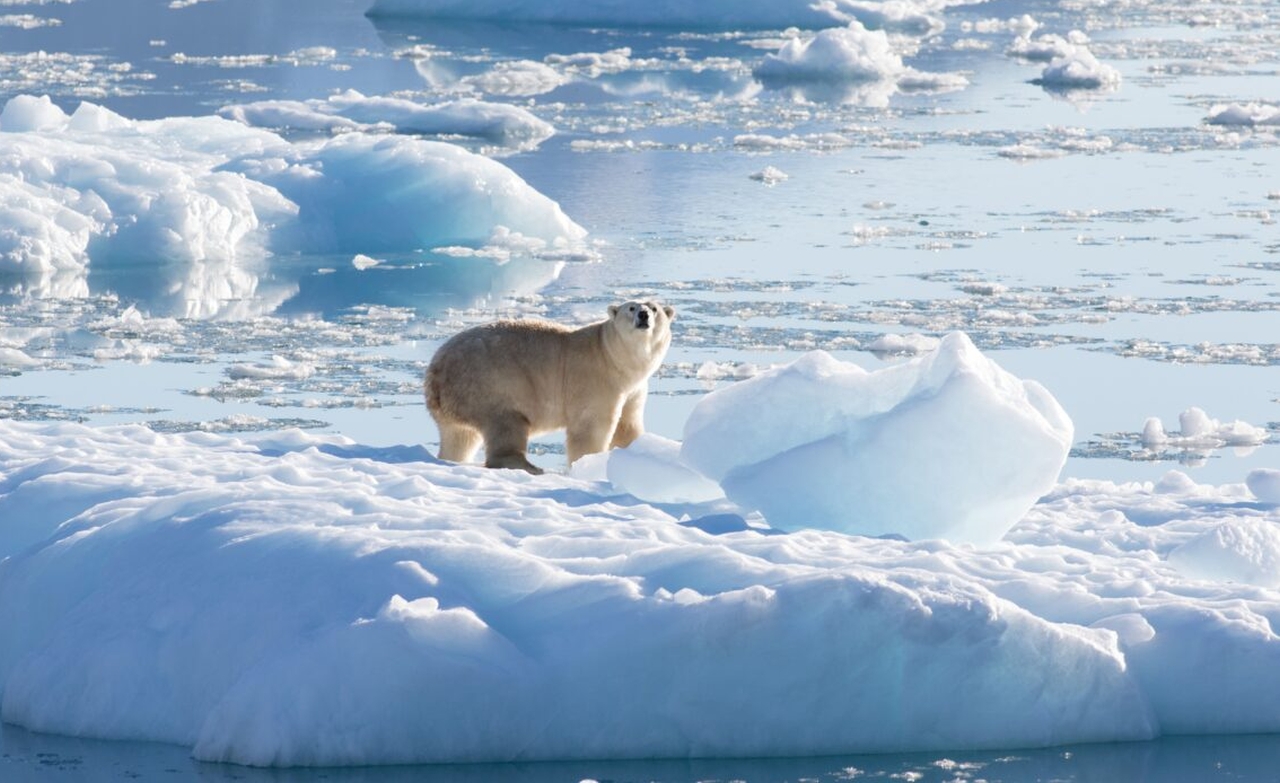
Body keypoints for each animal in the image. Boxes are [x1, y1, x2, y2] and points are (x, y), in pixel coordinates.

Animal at [424, 298, 675, 470]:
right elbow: (591, 427)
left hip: (457, 400)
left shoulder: (634, 389)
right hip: (489, 382)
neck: (612, 355)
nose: (643, 315)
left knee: (459, 437)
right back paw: (529, 466)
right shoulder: (595, 378)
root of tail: (435, 370)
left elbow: (627, 425)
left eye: (654, 308)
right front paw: (589, 463)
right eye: (630, 307)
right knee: (506, 422)